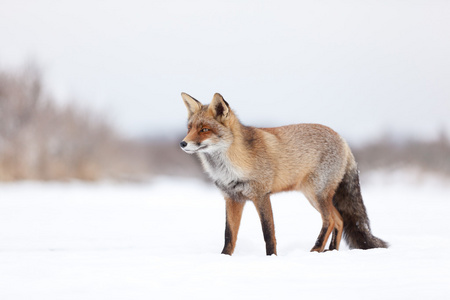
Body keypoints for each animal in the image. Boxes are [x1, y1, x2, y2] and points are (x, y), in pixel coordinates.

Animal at [179, 92, 386, 255]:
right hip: (315, 196)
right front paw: (224, 258)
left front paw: (271, 258)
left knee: (329, 220)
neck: (230, 166)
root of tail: (342, 139)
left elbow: (268, 233)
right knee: (339, 220)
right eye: (190, 128)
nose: (183, 143)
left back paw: (316, 249)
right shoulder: (232, 198)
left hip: (317, 194)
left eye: (204, 130)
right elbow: (229, 235)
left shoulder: (261, 195)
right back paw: (330, 251)